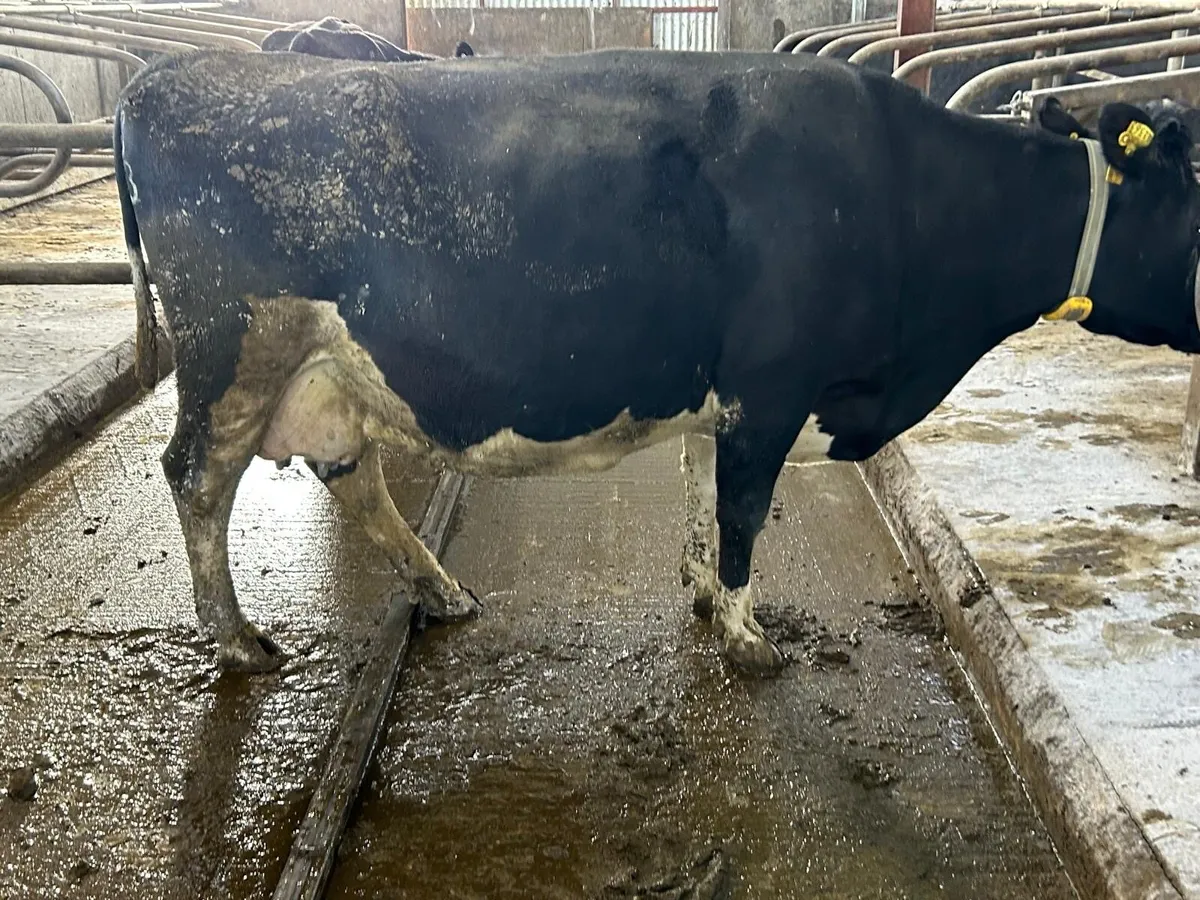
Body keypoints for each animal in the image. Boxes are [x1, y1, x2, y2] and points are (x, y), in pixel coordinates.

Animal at [113, 48, 1200, 676]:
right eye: (1193, 195)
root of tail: (171, 76)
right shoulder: (772, 388)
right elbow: (744, 510)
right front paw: (749, 638)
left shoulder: (726, 392)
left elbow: (700, 487)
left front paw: (705, 595)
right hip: (237, 344)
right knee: (197, 476)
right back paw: (238, 642)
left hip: (329, 370)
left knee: (351, 476)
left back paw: (441, 592)